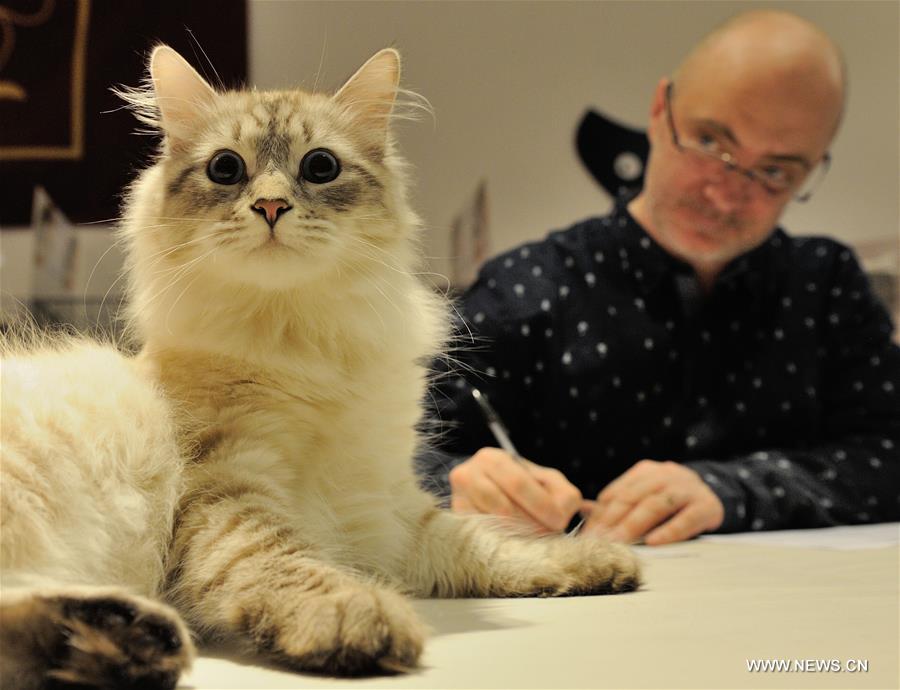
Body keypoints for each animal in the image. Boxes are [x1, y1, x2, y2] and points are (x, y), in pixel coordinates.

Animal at [1, 45, 648, 684]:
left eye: (319, 167)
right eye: (226, 170)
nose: (270, 205)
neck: (301, 340)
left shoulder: (384, 505)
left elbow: (487, 545)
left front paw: (591, 558)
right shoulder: (226, 491)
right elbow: (285, 560)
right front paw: (353, 614)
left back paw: (112, 643)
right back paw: (121, 640)